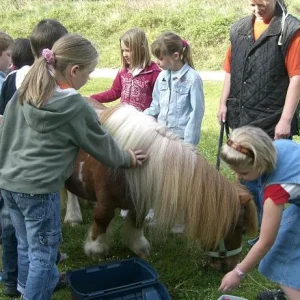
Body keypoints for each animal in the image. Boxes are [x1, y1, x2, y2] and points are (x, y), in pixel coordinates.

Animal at [64, 101, 256, 272]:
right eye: (239, 228)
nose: (229, 266)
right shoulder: (106, 202)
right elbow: (102, 219)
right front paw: (96, 249)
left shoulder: (139, 200)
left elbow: (137, 220)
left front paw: (138, 246)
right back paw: (73, 217)